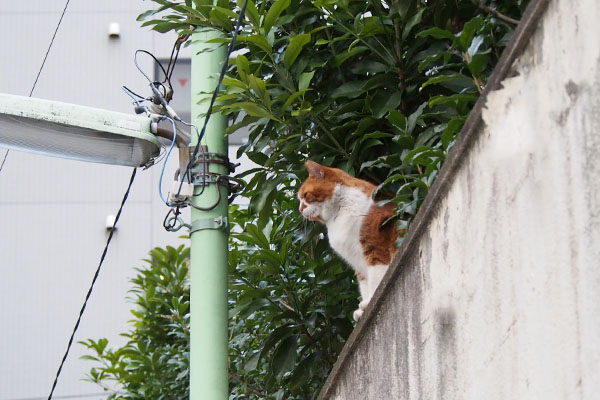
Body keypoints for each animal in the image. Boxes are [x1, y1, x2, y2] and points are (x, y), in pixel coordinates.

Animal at [298, 161, 400, 320]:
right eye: (300, 200)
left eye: (306, 195)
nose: (300, 209)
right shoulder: (357, 262)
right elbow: (364, 284)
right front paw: (363, 309)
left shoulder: (376, 248)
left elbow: (377, 278)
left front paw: (370, 301)